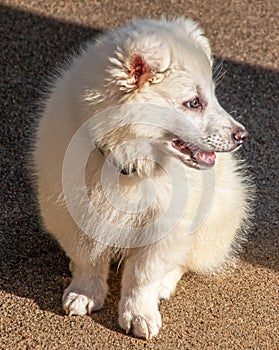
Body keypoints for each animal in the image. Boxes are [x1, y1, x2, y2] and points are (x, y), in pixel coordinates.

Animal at [33, 17, 254, 338]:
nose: (242, 136)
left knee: (184, 260)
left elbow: (143, 273)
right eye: (193, 103)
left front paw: (139, 314)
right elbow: (88, 257)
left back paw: (165, 283)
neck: (129, 160)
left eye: (211, 96)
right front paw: (85, 293)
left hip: (215, 218)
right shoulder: (74, 210)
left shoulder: (166, 222)